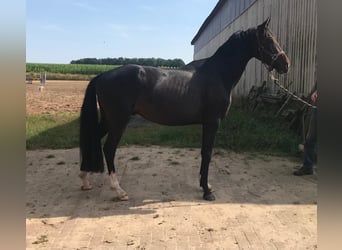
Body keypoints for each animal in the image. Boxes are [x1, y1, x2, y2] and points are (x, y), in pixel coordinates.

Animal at [79, 17, 288, 201]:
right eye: (269, 39)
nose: (285, 64)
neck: (218, 74)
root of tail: (102, 75)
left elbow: (204, 153)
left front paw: (206, 185)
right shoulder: (212, 122)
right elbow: (207, 154)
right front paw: (207, 192)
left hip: (108, 119)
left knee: (93, 138)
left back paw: (85, 180)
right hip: (118, 121)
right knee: (109, 149)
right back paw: (119, 191)